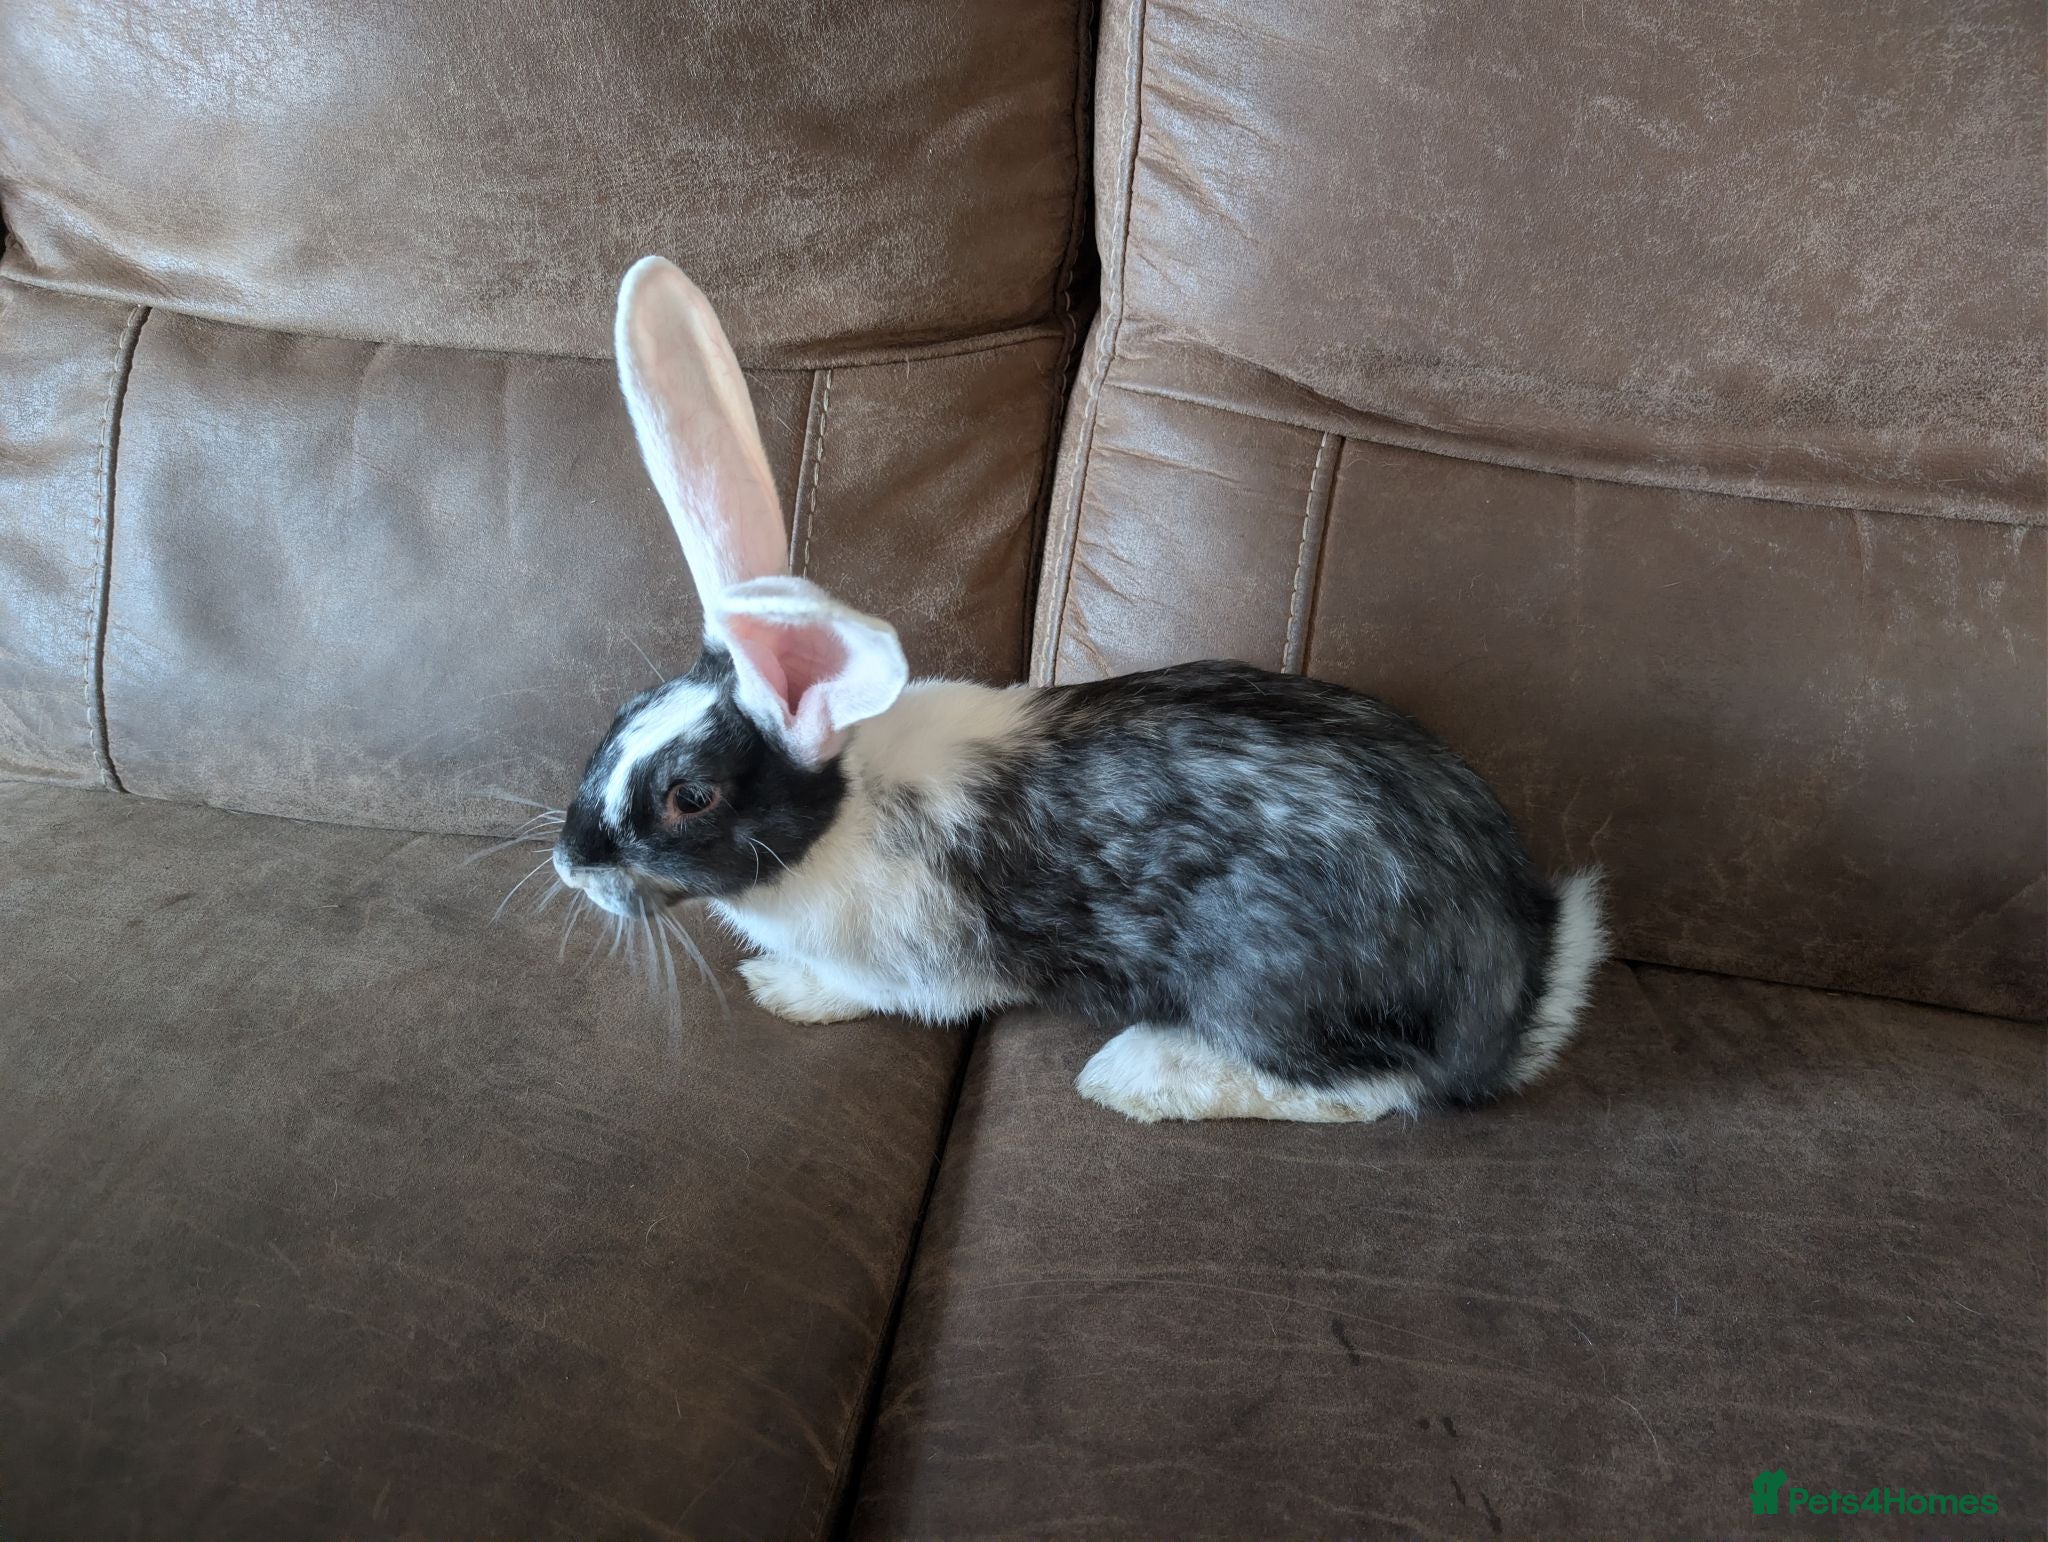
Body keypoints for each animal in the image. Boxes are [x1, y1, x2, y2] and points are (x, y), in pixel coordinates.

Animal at [551, 255, 1609, 1124]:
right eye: (619, 719)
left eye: (691, 797)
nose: (569, 862)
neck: (842, 813)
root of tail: (1517, 991)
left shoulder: (921, 968)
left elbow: (876, 995)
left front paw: (784, 990)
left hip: (1268, 980)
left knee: (1374, 1086)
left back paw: (1138, 1076)